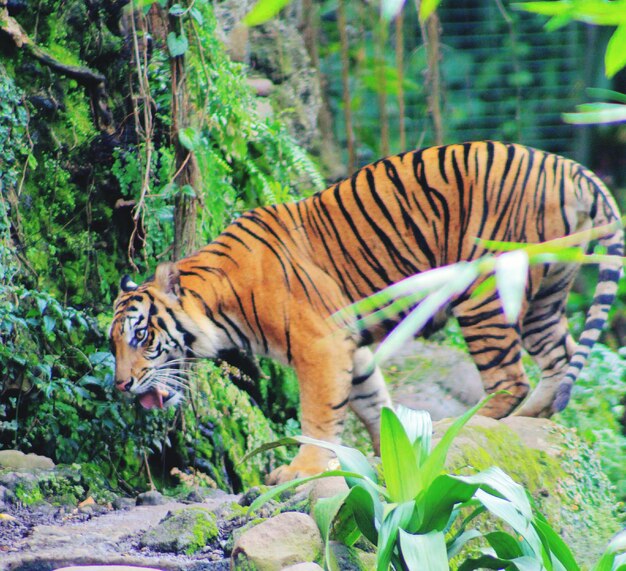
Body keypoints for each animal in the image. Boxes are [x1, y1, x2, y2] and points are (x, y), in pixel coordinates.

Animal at [109, 142, 620, 482]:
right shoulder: (351, 352)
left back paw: (464, 424)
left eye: (141, 337)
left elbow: (318, 415)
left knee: (509, 379)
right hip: (546, 296)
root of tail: (567, 166)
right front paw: (393, 453)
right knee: (558, 359)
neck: (218, 302)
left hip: (485, 290)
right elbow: (373, 403)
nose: (120, 385)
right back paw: (532, 419)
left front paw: (302, 469)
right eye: (113, 344)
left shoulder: (321, 344)